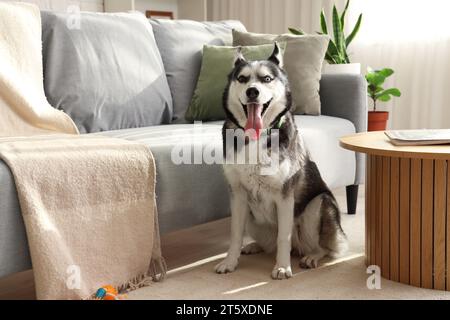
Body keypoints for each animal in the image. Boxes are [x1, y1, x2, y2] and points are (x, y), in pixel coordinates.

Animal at [214, 43, 348, 278]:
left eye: (266, 79)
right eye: (242, 79)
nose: (252, 91)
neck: (257, 136)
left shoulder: (285, 196)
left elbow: (283, 237)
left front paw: (282, 267)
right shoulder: (238, 194)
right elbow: (235, 234)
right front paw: (230, 262)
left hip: (318, 205)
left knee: (322, 247)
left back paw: (311, 256)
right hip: (252, 217)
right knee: (268, 243)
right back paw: (254, 246)